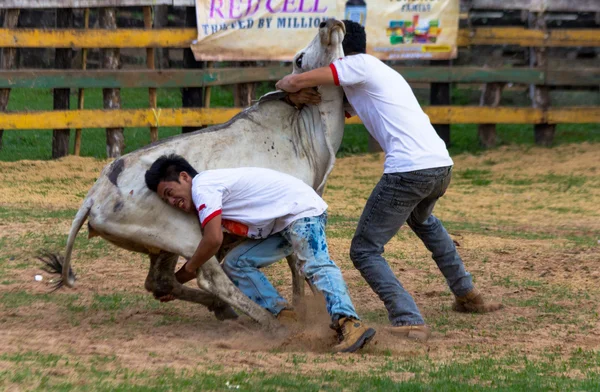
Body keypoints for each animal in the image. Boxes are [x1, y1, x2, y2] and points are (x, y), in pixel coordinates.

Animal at [43, 19, 346, 330]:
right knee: (211, 278)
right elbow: (298, 263)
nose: (329, 23)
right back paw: (268, 322)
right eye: (299, 58)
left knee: (160, 282)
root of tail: (95, 195)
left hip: (161, 246)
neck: (301, 133)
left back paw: (223, 308)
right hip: (185, 235)